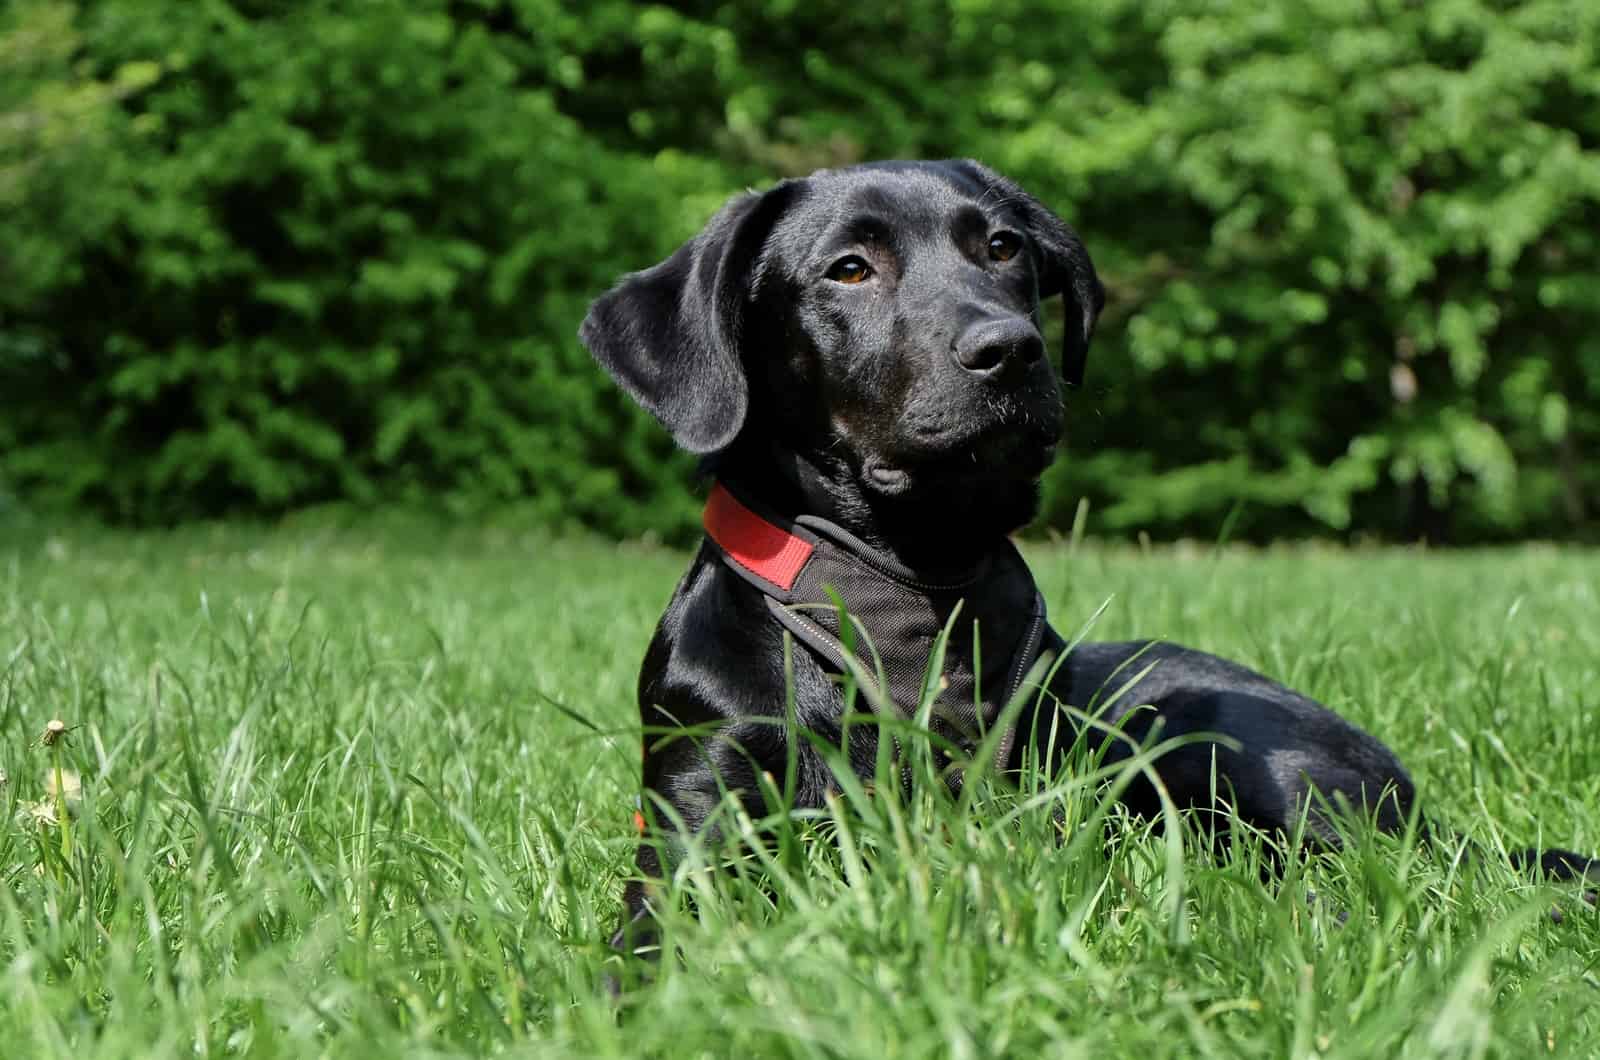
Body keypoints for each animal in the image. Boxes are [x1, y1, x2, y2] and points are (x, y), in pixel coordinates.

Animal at [582, 161, 1593, 960]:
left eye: (1002, 249)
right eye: (850, 268)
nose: (1010, 349)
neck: (902, 588)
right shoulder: (698, 807)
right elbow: (659, 930)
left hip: (1214, 738)